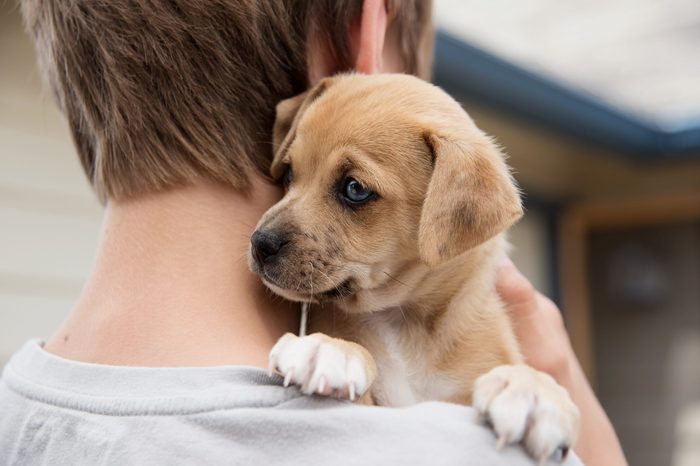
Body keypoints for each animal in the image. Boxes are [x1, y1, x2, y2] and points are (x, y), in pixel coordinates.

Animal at [249, 73, 576, 462]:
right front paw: (330, 348)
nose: (260, 244)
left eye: (354, 188)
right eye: (288, 173)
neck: (405, 323)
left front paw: (534, 392)